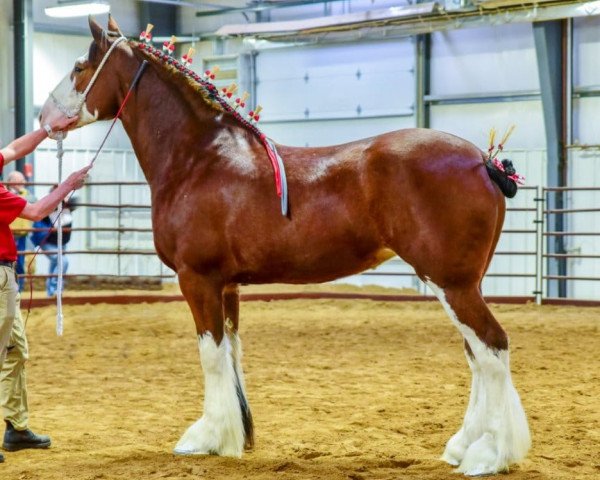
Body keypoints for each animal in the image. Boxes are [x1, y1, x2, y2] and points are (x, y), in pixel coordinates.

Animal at [39, 15, 528, 476]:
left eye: (79, 67)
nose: (44, 118)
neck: (198, 159)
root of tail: (483, 161)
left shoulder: (197, 280)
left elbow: (210, 356)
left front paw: (205, 437)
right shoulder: (226, 286)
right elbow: (231, 352)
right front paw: (236, 436)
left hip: (451, 283)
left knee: (492, 348)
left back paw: (489, 455)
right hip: (461, 285)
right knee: (477, 355)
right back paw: (463, 446)